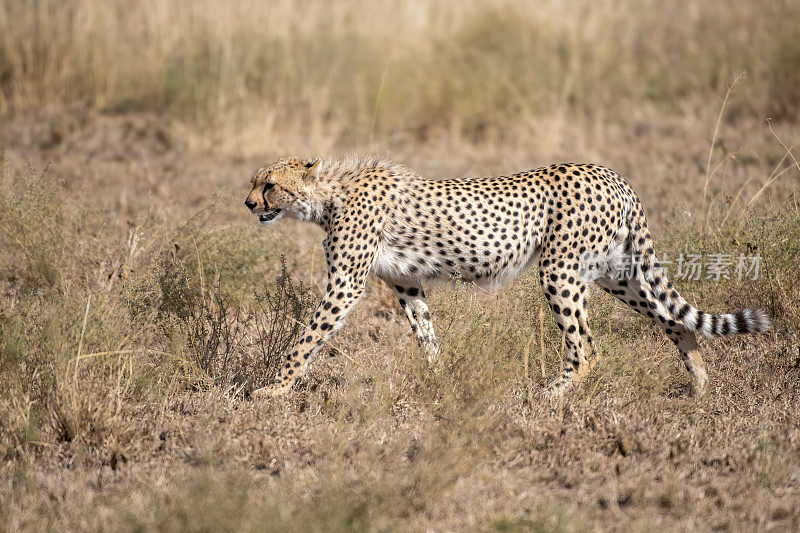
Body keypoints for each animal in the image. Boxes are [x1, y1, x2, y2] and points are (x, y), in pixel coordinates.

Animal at [244, 156, 768, 396]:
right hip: (615, 272)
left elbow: (306, 338)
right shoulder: (406, 283)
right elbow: (425, 332)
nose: (248, 204)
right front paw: (440, 380)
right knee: (674, 319)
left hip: (560, 270)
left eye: (269, 184)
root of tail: (609, 172)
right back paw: (700, 385)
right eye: (254, 183)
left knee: (586, 348)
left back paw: (551, 396)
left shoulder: (346, 285)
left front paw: (272, 389)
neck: (327, 194)